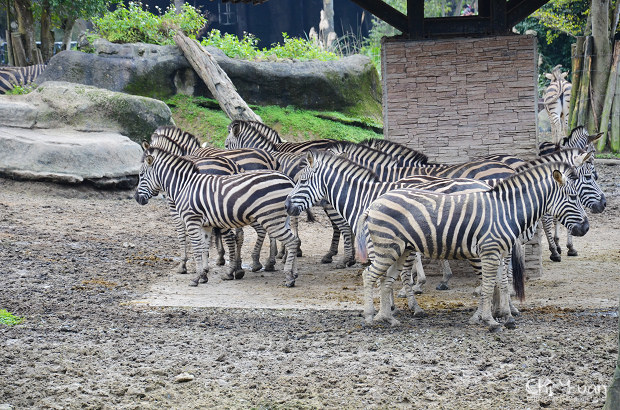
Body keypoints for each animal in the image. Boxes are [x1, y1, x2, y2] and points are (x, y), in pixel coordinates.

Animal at [136, 148, 300, 288]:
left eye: (141, 175)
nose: (137, 198)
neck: (184, 185)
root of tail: (289, 180)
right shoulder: (205, 224)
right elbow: (204, 247)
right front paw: (203, 275)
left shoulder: (191, 220)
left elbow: (196, 247)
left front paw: (195, 277)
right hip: (279, 219)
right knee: (293, 240)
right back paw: (293, 273)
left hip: (271, 218)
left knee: (291, 241)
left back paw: (288, 277)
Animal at [356, 162, 588, 332]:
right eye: (573, 197)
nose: (586, 227)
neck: (507, 210)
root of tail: (374, 203)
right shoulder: (490, 252)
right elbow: (488, 286)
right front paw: (490, 320)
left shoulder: (499, 253)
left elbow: (502, 284)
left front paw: (505, 317)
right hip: (387, 248)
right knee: (369, 275)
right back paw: (369, 318)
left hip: (400, 250)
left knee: (385, 281)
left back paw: (388, 319)